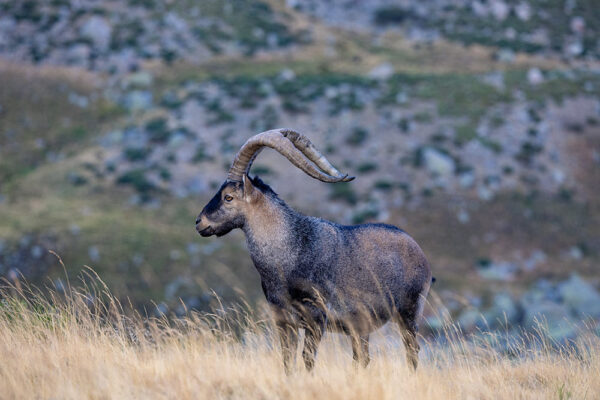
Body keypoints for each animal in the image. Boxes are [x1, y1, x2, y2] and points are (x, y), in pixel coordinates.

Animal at [196, 129, 432, 372]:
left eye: (228, 197)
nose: (199, 222)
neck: (289, 250)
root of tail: (419, 253)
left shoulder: (316, 316)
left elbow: (308, 359)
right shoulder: (284, 319)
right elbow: (287, 360)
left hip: (409, 312)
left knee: (411, 352)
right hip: (361, 328)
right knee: (363, 358)